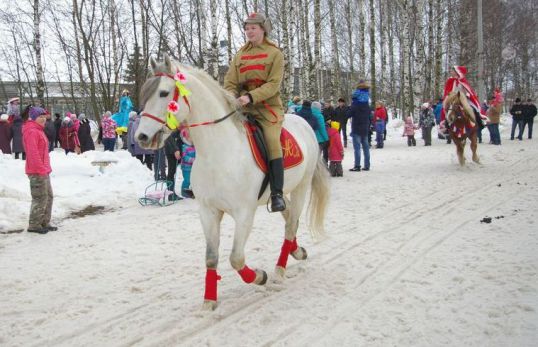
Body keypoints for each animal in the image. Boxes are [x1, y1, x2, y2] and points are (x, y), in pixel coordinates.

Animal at [135, 55, 326, 312]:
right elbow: (211, 257)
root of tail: (303, 123)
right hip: (282, 193)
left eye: (164, 93)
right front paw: (209, 301)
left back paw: (279, 269)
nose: (142, 137)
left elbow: (236, 258)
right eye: (145, 93)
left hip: (301, 188)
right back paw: (297, 252)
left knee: (290, 225)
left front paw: (259, 276)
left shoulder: (244, 213)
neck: (219, 152)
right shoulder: (208, 211)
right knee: (289, 220)